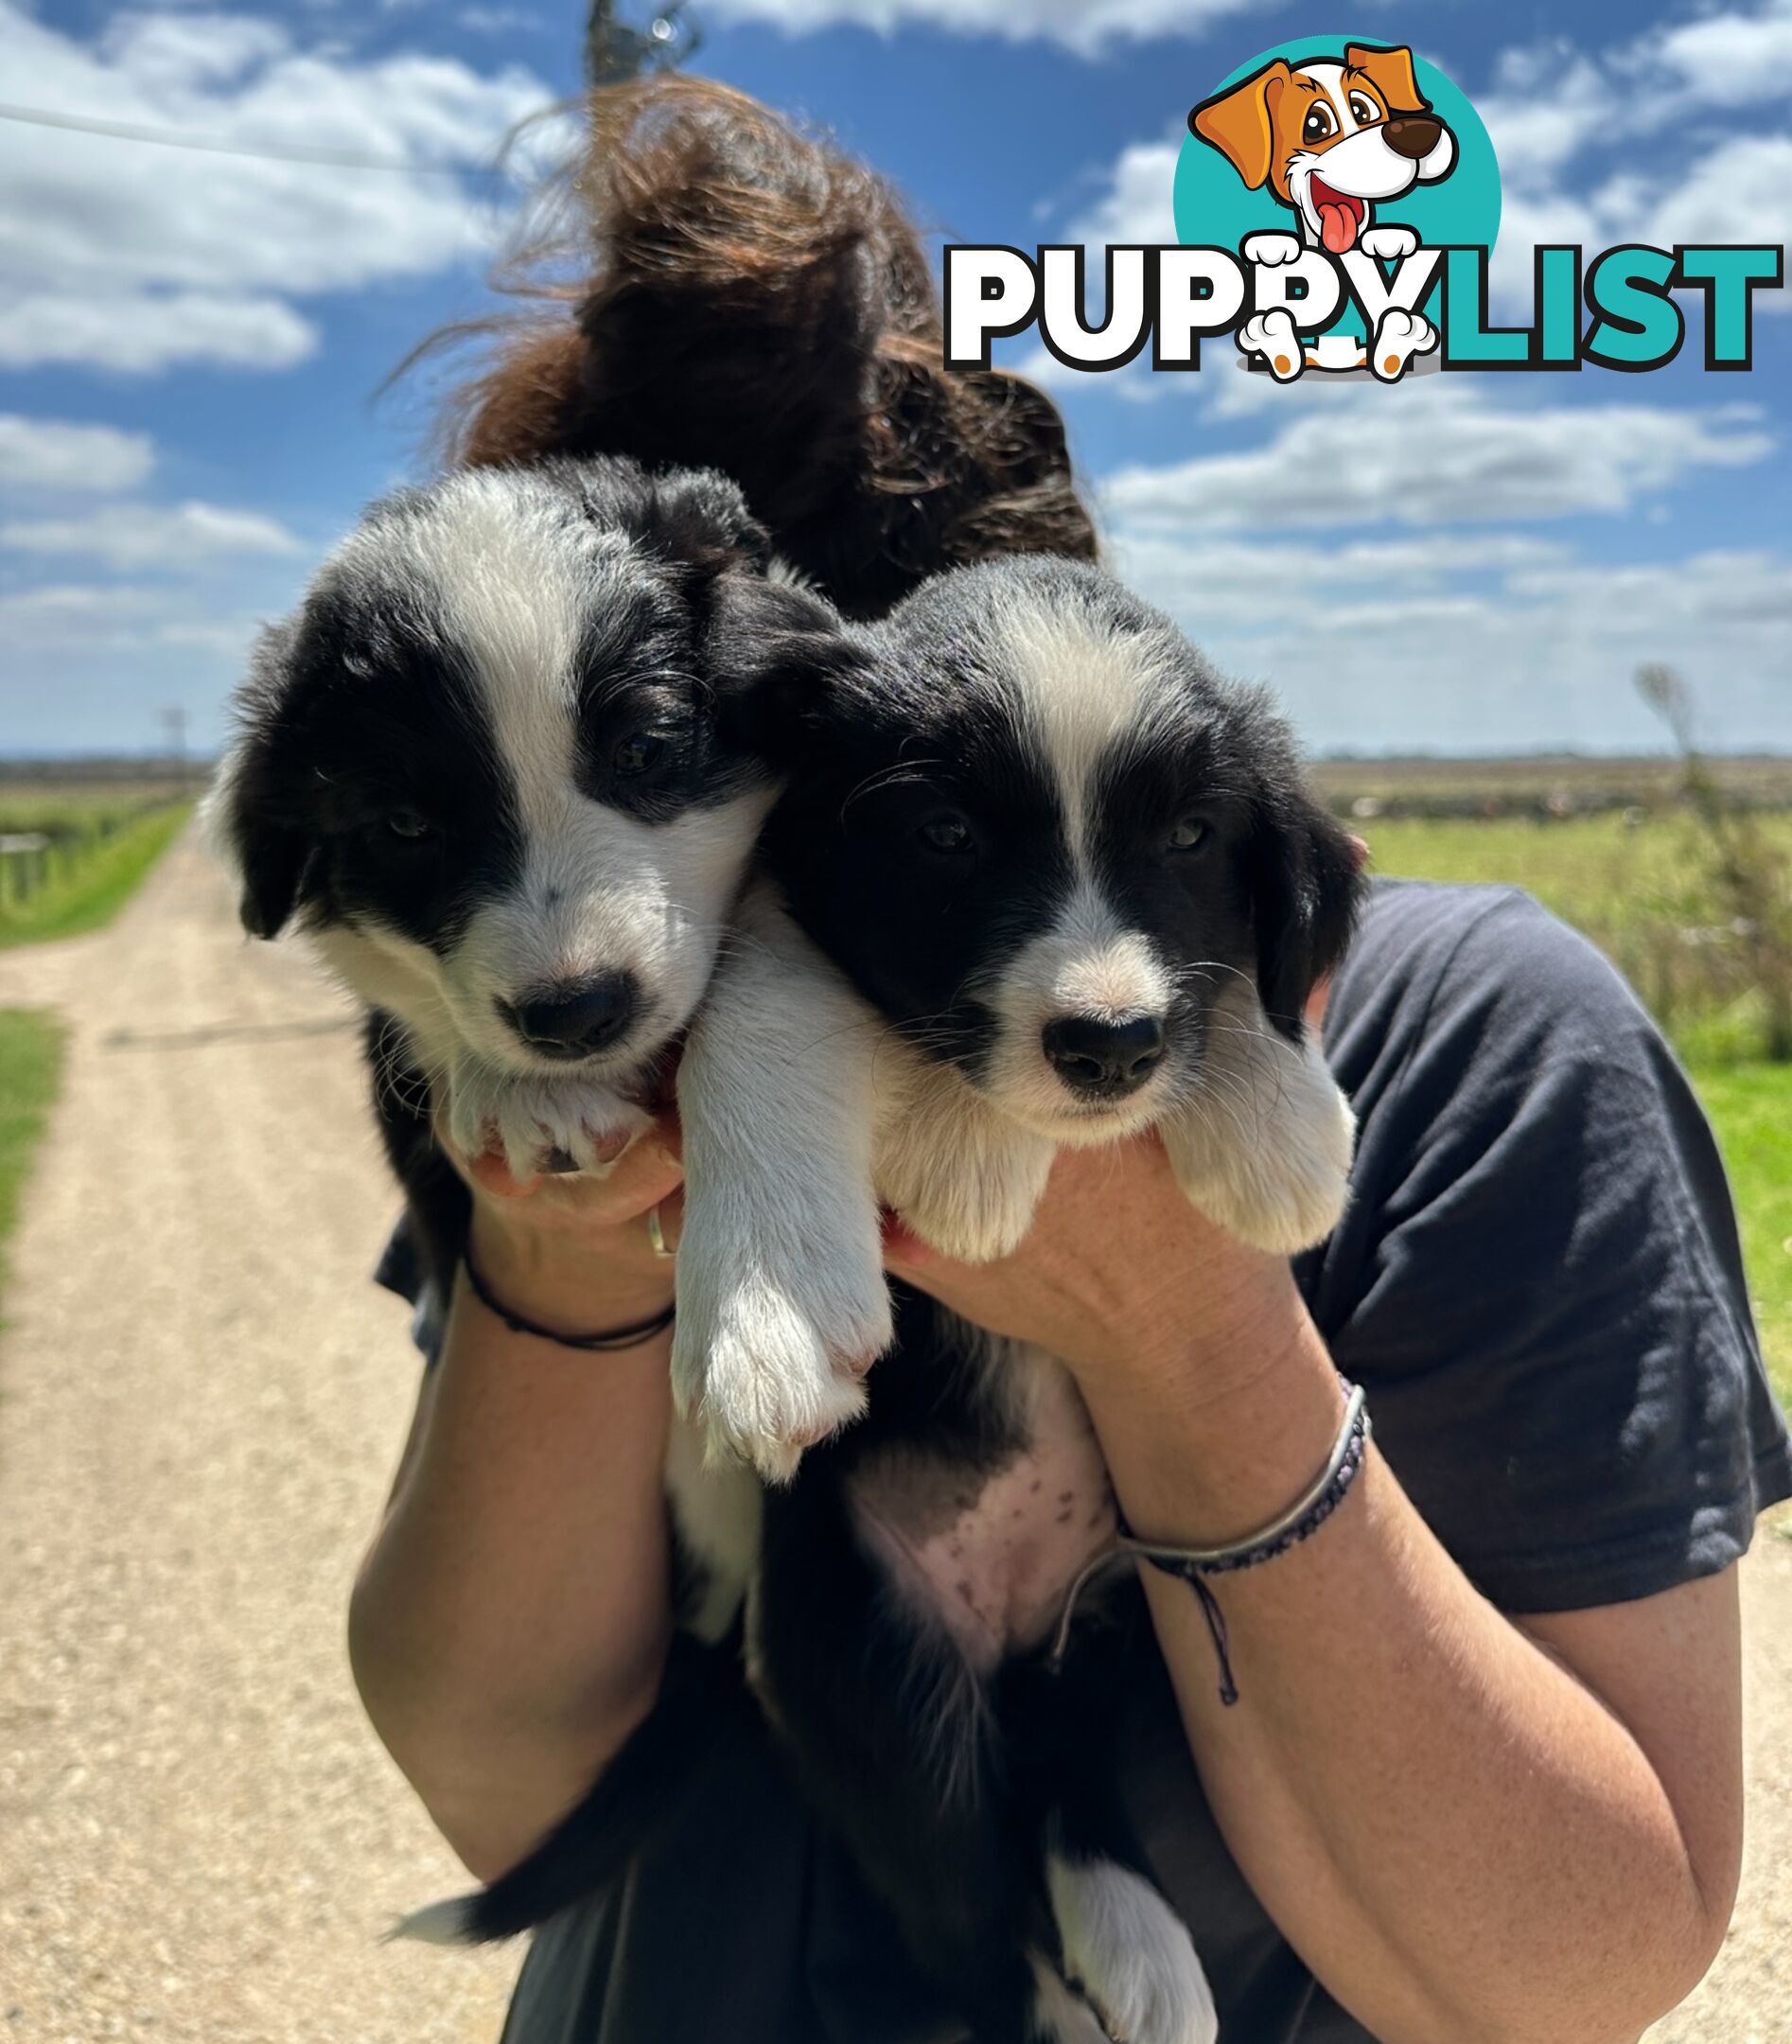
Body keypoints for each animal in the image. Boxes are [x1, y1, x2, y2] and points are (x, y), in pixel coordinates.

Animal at [432, 555, 1356, 2044]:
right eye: (943, 836)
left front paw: (1280, 1127)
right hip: (871, 1679)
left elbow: (1239, 983)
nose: (1108, 1047)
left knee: (1064, 1780)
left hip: (1128, 1621)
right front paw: (954, 1158)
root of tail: (1008, 1621)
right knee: (967, 1930)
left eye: (1193, 837)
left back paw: (1139, 1947)